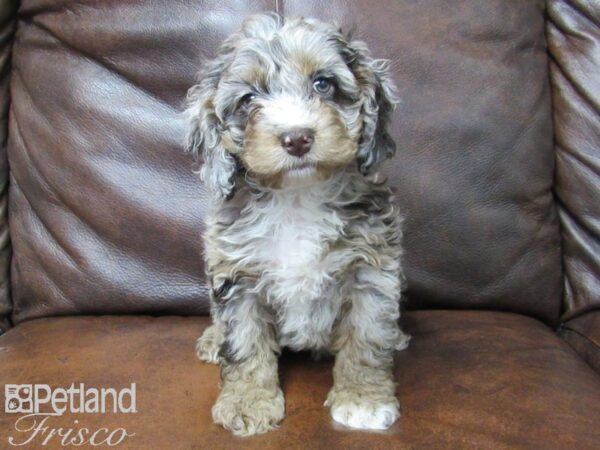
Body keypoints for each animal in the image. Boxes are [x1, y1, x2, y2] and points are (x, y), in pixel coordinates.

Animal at [183, 13, 408, 436]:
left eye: (323, 83)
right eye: (248, 99)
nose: (297, 138)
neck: (297, 198)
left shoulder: (371, 271)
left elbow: (366, 339)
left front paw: (362, 398)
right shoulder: (238, 276)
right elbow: (244, 344)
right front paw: (247, 402)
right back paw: (212, 338)